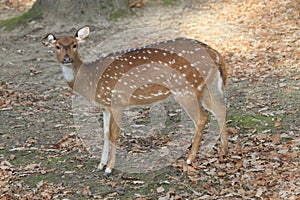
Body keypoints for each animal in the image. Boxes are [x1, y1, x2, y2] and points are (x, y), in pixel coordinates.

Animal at [42, 26, 229, 177]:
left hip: (185, 88)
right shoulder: (105, 107)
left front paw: (109, 169)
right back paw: (223, 151)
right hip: (202, 87)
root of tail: (215, 54)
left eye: (75, 44)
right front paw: (100, 165)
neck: (91, 80)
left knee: (202, 118)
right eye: (57, 46)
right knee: (220, 108)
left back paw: (190, 159)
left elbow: (114, 134)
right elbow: (105, 134)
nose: (66, 58)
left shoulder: (117, 100)